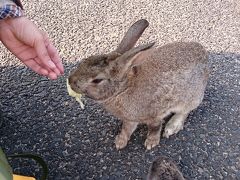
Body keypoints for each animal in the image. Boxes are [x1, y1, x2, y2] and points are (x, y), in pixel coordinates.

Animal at [68, 19, 209, 150]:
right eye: (86, 60)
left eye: (97, 80)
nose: (70, 81)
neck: (123, 89)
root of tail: (204, 55)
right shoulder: (129, 119)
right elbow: (126, 129)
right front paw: (120, 142)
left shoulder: (154, 115)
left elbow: (154, 128)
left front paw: (151, 143)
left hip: (189, 98)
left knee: (185, 112)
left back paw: (171, 127)